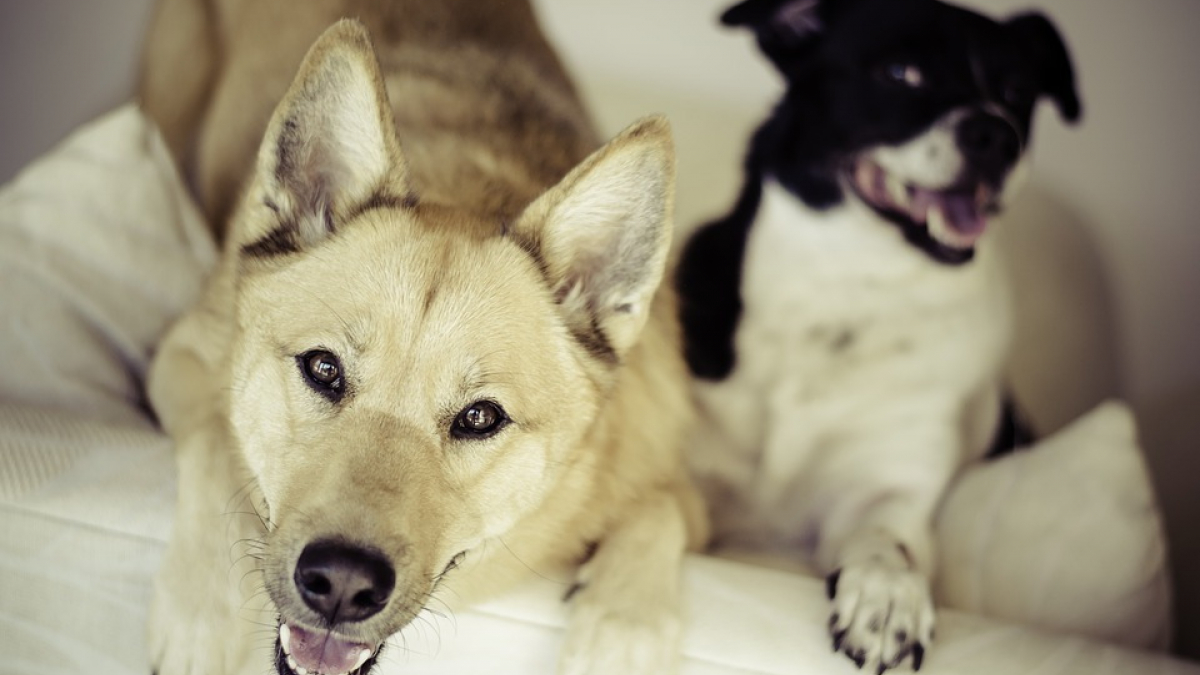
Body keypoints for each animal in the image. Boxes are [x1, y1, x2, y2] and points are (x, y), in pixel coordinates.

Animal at [140, 2, 705, 667]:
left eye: (481, 417)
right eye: (323, 368)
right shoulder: (182, 353)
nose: (343, 584)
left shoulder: (689, 497)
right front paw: (204, 609)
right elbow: (213, 443)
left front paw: (622, 632)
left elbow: (658, 513)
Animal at [681, 0, 1084, 667]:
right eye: (901, 73)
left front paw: (889, 596)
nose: (997, 135)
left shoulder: (888, 488)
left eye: (1016, 92)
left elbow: (884, 541)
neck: (853, 286)